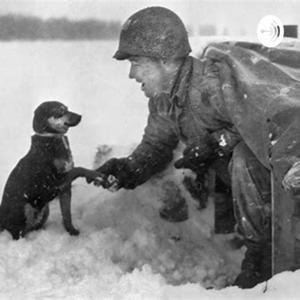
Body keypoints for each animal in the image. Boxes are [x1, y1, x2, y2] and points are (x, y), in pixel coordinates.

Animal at [0, 101, 101, 239]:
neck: (52, 137)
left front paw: (72, 231)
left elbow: (67, 215)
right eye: (60, 111)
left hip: (45, 210)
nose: (80, 116)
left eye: (67, 108)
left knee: (33, 227)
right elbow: (78, 169)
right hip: (25, 208)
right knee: (18, 233)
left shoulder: (64, 188)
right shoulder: (52, 183)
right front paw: (94, 173)